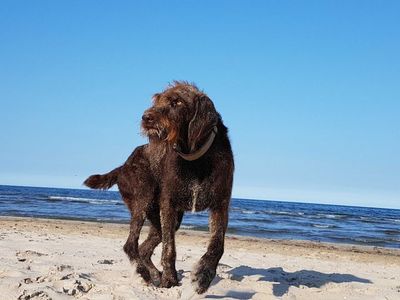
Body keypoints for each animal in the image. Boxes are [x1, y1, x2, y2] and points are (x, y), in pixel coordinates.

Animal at [84, 81, 234, 292]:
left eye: (177, 101)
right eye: (158, 100)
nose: (146, 117)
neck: (195, 159)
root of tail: (123, 166)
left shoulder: (220, 205)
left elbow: (217, 245)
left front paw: (204, 275)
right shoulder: (168, 205)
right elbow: (169, 249)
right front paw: (170, 279)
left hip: (158, 218)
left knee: (143, 248)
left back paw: (154, 274)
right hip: (143, 200)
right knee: (131, 245)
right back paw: (144, 273)